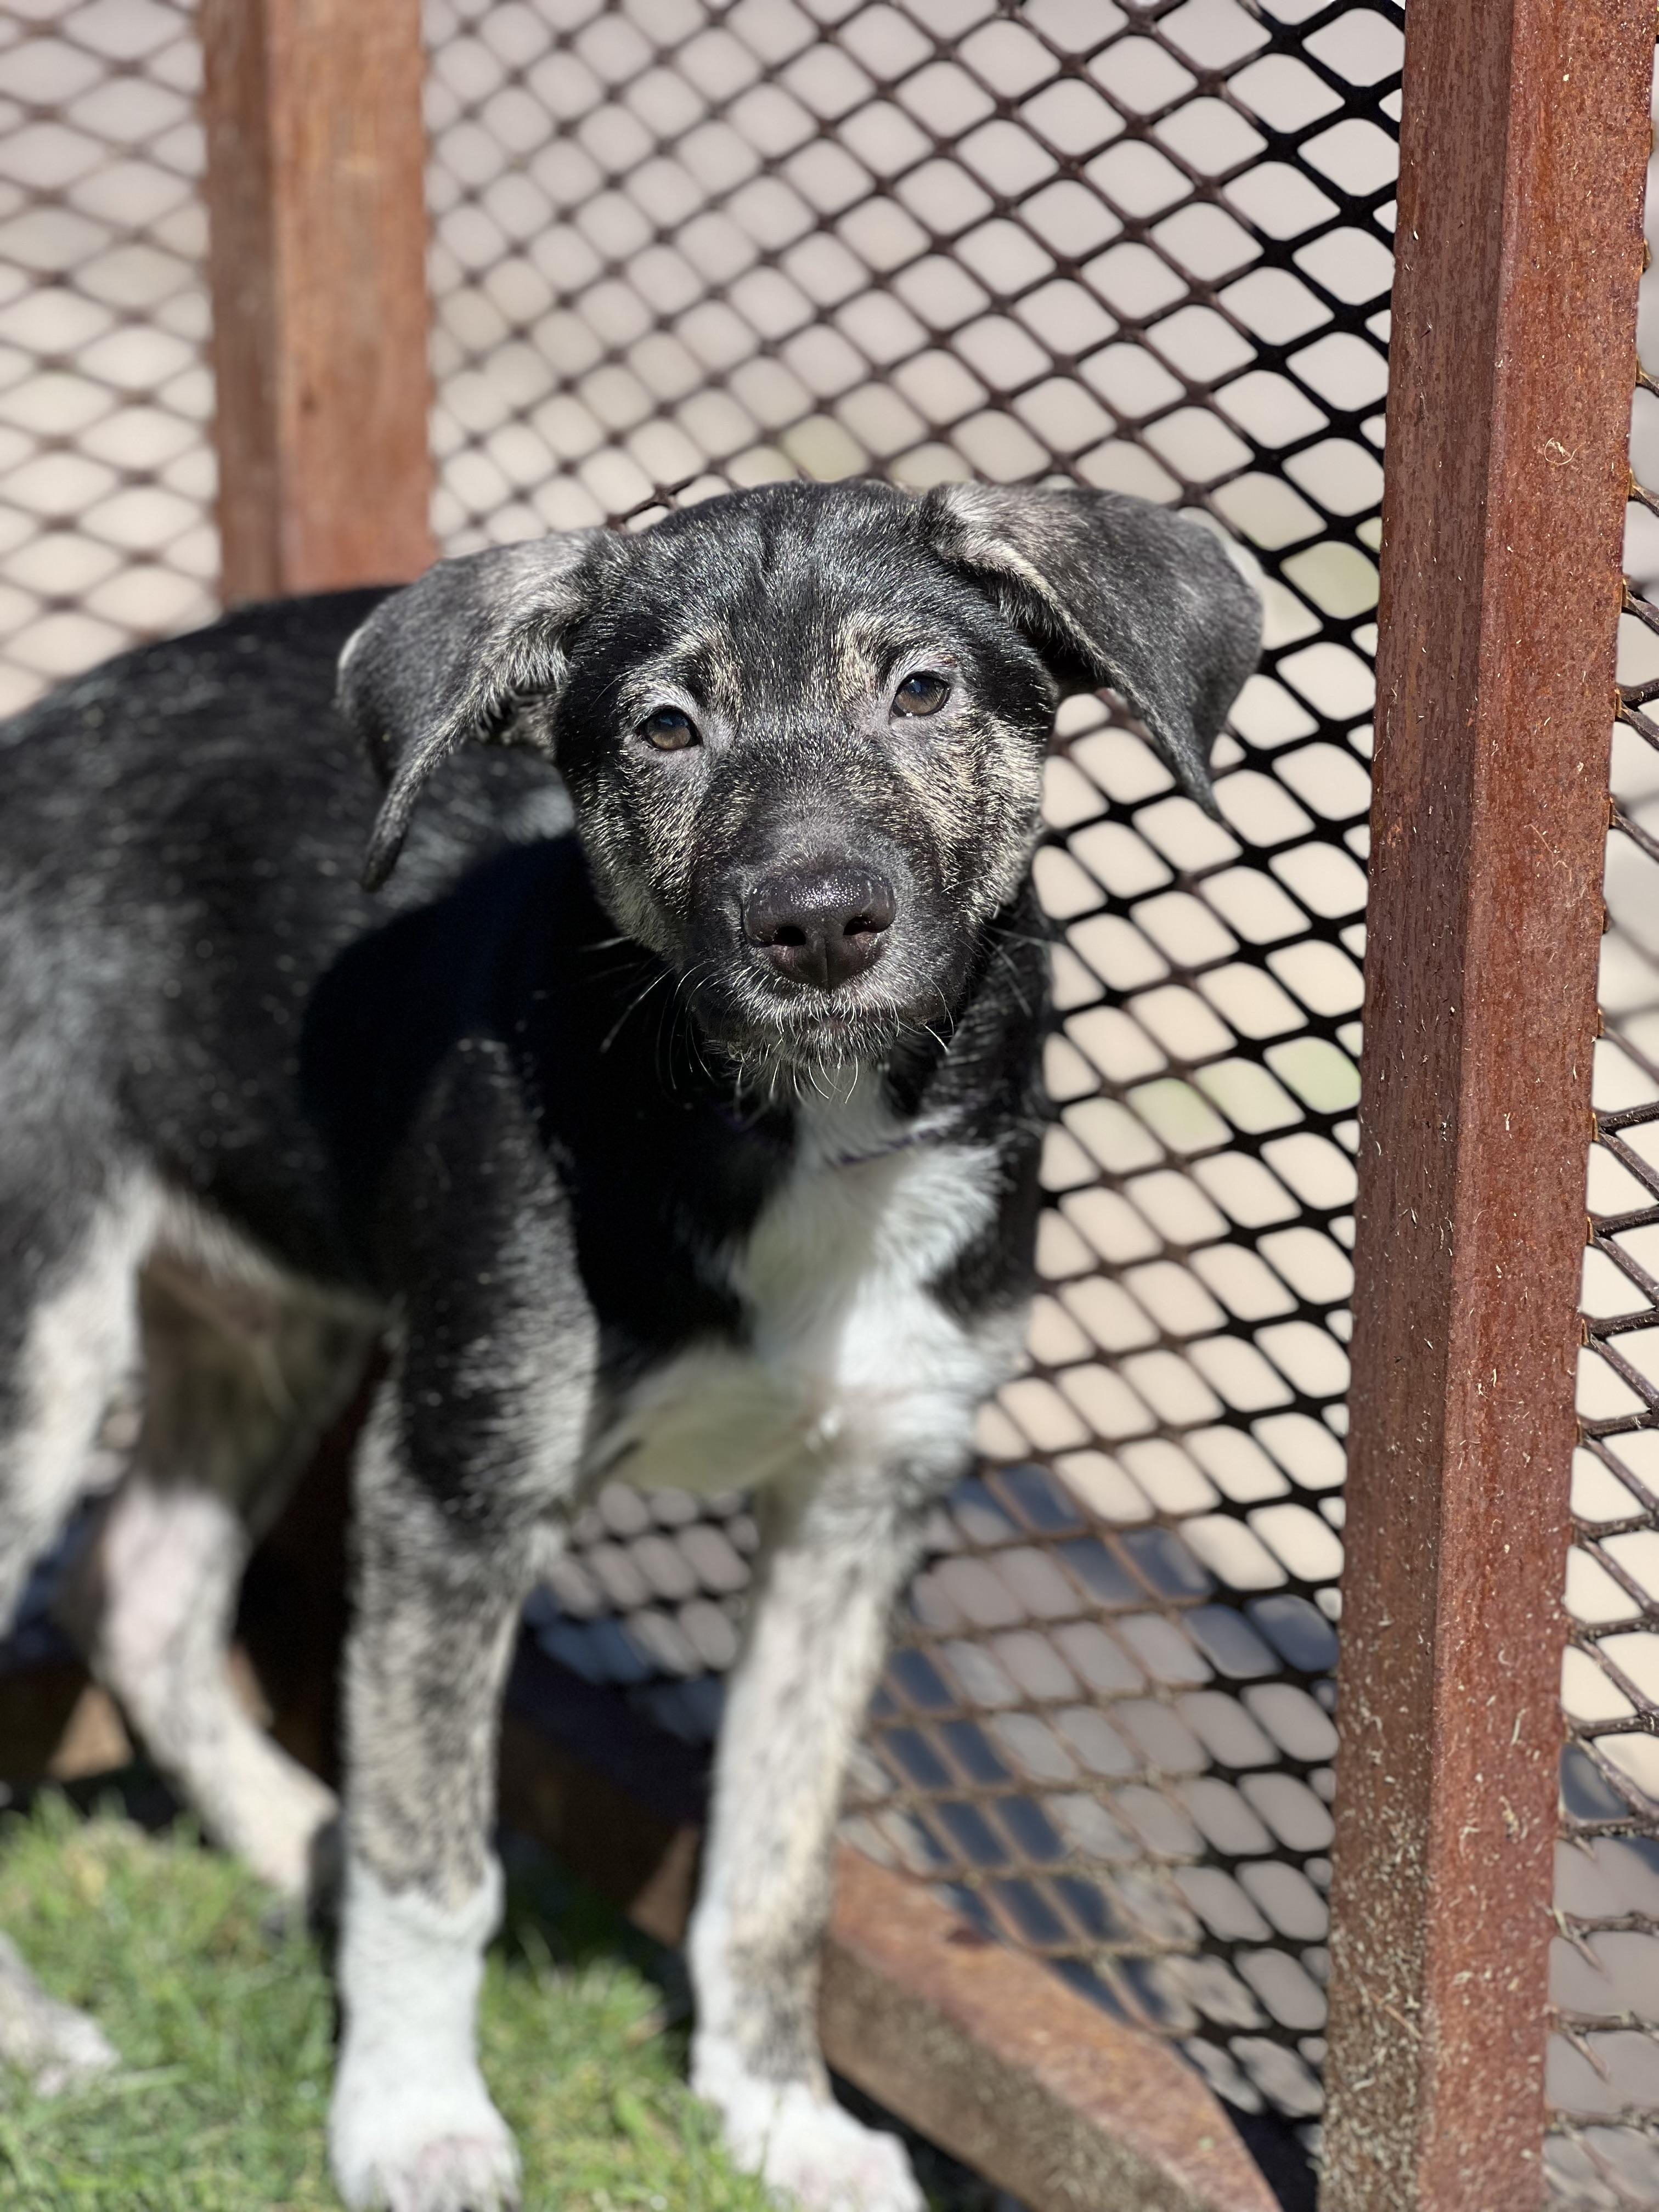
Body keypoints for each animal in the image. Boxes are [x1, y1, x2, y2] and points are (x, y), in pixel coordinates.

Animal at [0, 478, 1258, 2212]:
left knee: (144, 1589)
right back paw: (53, 2027)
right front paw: (415, 2119)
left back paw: (297, 1843)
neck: (794, 1122)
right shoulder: (454, 1487)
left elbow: (777, 1870)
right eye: (667, 727)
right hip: (45, 1338)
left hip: (272, 1318)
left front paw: (783, 2119)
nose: (816, 924)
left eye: (921, 690)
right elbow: (434, 1861)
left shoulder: (866, 1500)